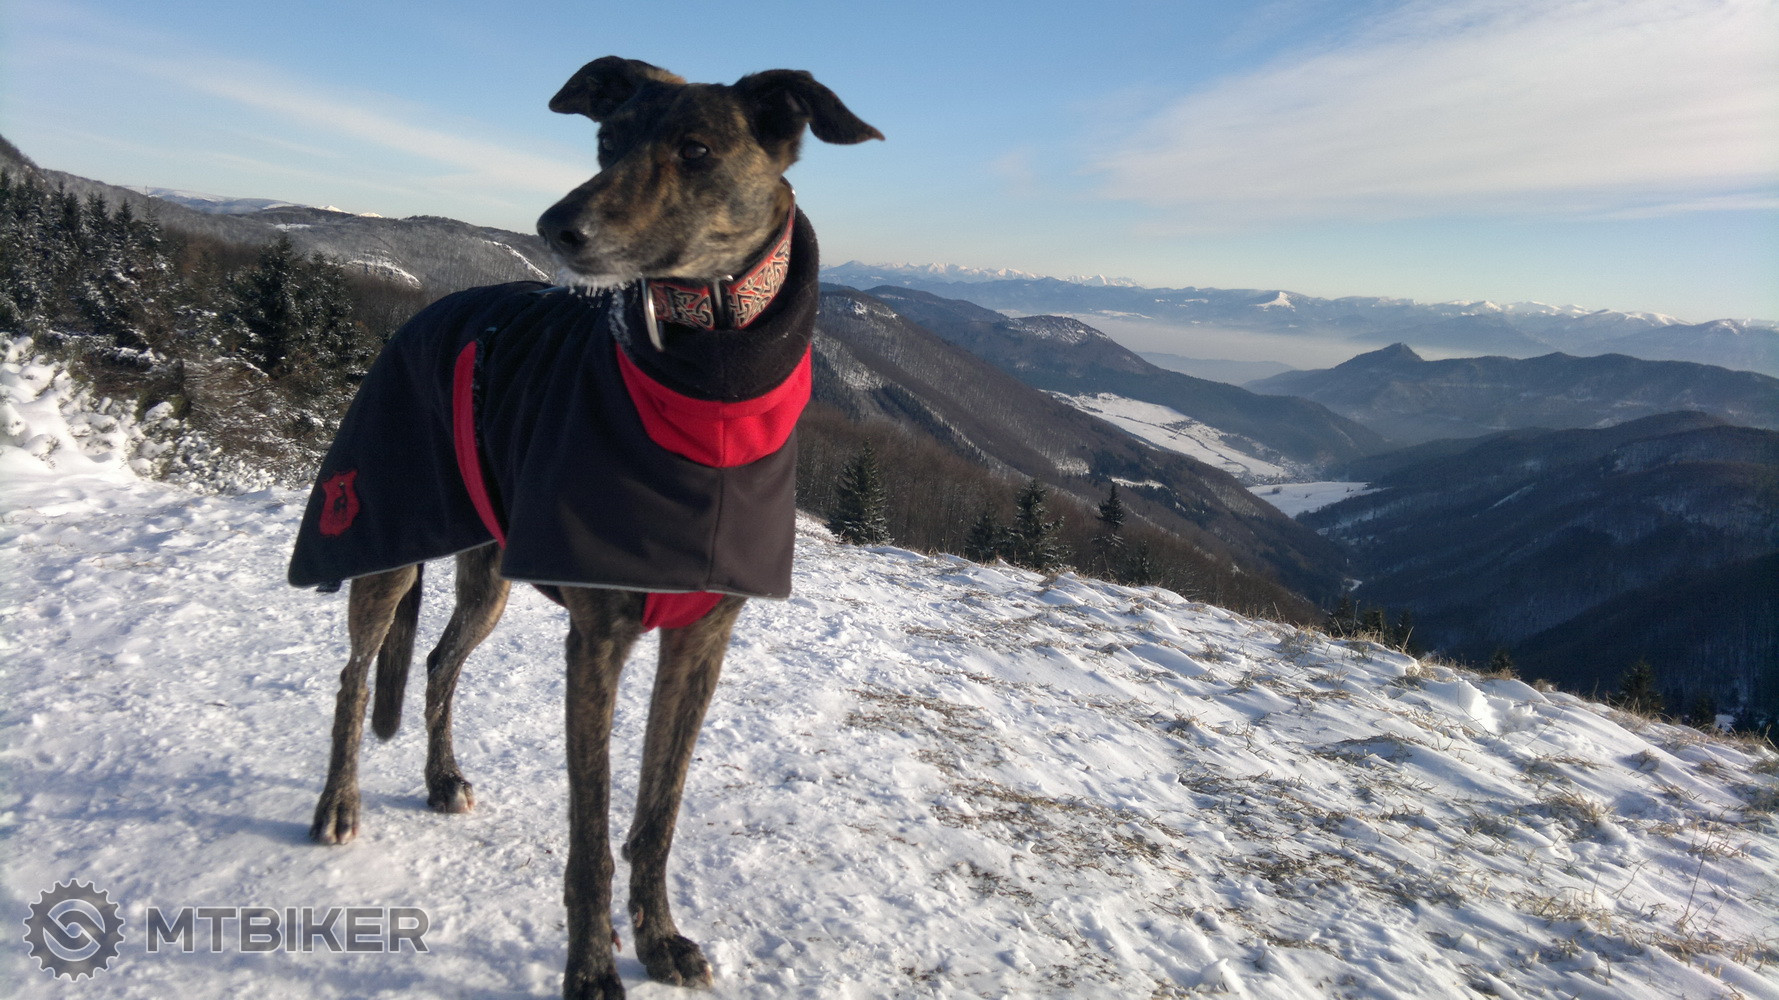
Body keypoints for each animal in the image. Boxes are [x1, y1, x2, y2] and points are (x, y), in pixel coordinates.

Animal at [289, 57, 880, 999]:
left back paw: (441, 778)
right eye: (606, 139)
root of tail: (424, 313)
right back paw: (338, 803)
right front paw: (594, 967)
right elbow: (592, 832)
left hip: (488, 574)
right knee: (353, 676)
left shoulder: (701, 643)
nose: (555, 228)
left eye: (696, 148)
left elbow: (656, 812)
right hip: (383, 534)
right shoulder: (597, 641)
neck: (711, 379)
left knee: (439, 663)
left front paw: (658, 938)